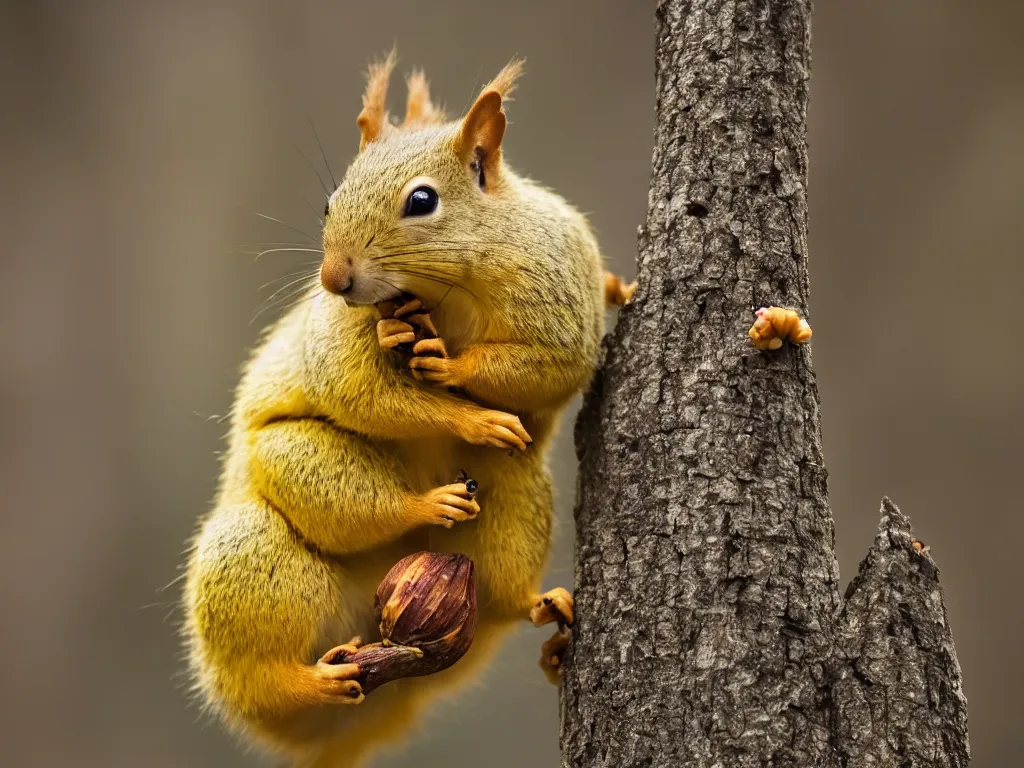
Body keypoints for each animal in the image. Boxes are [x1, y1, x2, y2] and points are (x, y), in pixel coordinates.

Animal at [180, 54, 634, 768]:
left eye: (422, 201)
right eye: (332, 199)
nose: (334, 280)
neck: (448, 290)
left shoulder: (558, 287)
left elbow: (550, 361)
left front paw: (454, 370)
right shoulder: (344, 335)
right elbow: (361, 391)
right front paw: (465, 410)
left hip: (506, 497)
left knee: (500, 589)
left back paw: (539, 604)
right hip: (267, 532)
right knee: (264, 672)